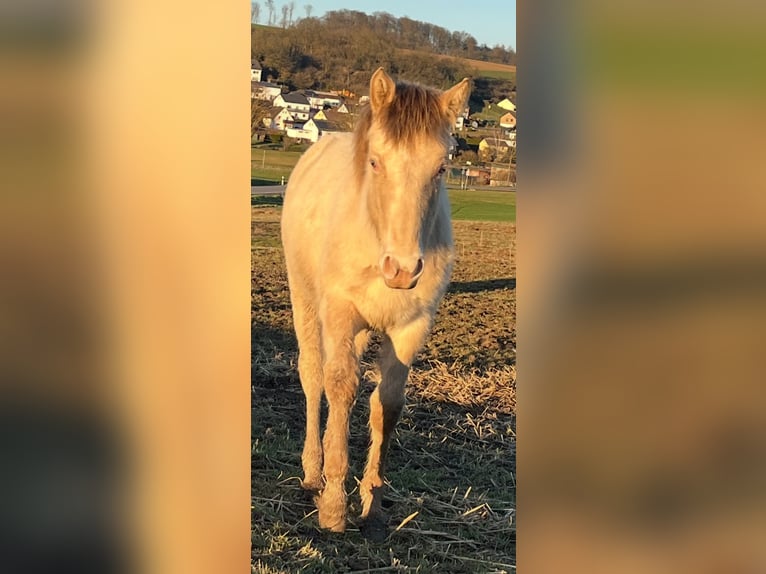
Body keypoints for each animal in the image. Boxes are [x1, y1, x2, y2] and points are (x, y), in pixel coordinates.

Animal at [282, 67, 472, 540]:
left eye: (442, 167)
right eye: (375, 162)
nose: (401, 269)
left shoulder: (411, 327)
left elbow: (386, 404)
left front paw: (373, 505)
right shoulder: (339, 314)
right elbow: (340, 387)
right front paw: (334, 507)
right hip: (305, 301)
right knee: (314, 377)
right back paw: (312, 473)